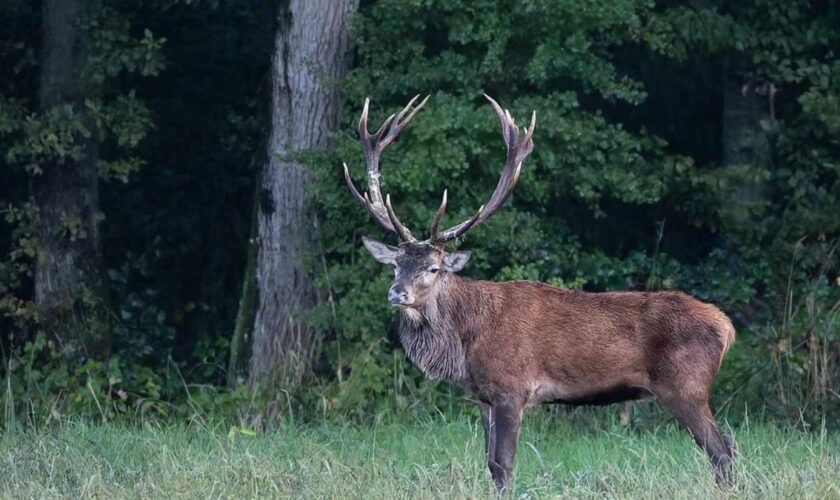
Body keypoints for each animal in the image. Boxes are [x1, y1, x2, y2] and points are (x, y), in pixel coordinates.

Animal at [342, 94, 736, 492]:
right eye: (396, 264)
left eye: (433, 268)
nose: (397, 293)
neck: (464, 342)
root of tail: (726, 327)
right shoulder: (483, 396)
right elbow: (490, 464)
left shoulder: (511, 388)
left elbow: (504, 465)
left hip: (685, 386)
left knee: (722, 450)